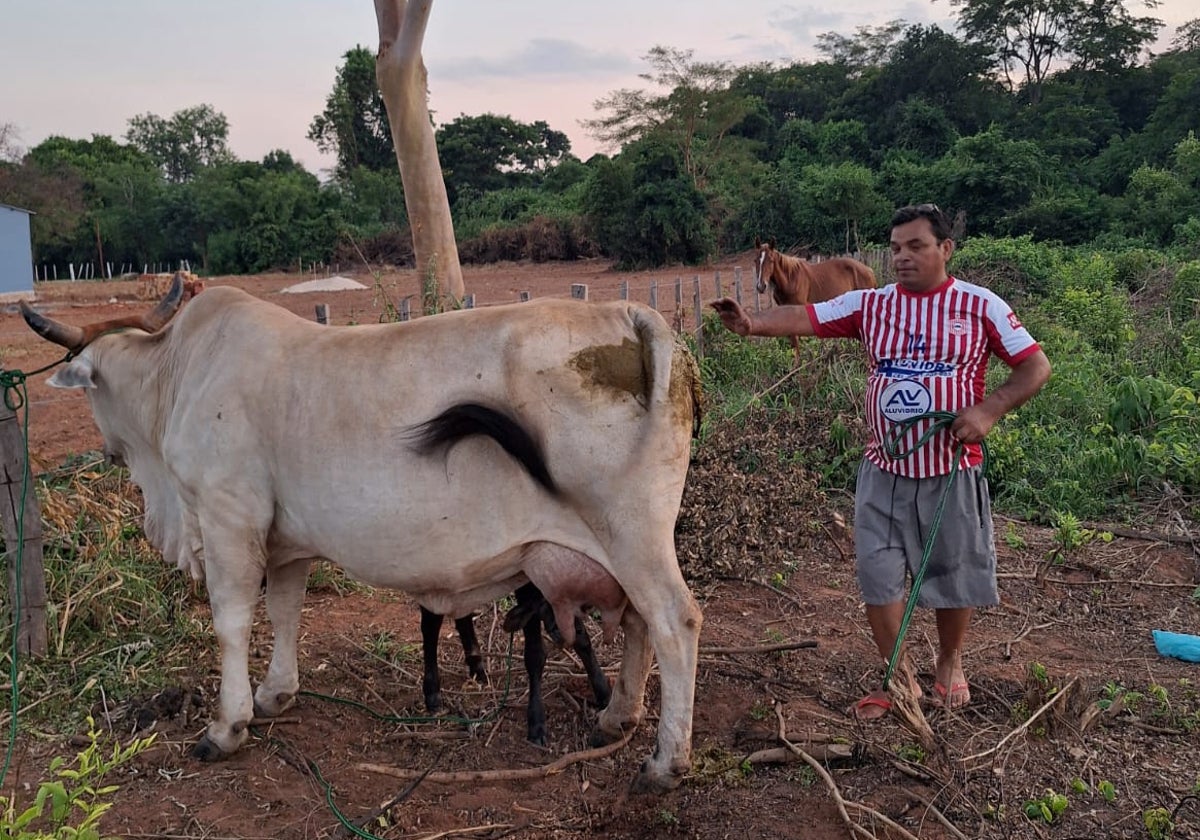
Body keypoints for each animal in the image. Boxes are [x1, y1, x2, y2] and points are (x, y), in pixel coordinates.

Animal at [23, 276, 700, 792]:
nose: (107, 449)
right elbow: (286, 612)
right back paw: (617, 716)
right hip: (624, 547)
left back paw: (665, 761)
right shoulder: (285, 542)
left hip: (632, 536)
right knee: (638, 624)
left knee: (675, 621)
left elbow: (232, 622)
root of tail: (628, 313)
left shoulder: (227, 518)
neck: (174, 375)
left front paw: (226, 726)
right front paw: (275, 694)